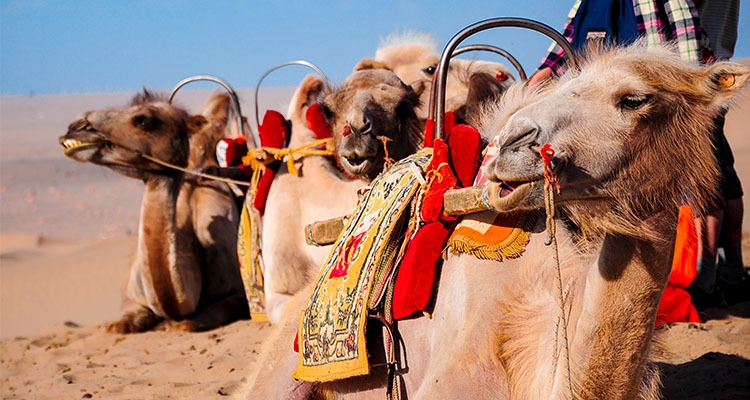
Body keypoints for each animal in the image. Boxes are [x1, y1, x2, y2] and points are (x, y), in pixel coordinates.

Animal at [60, 91, 248, 333]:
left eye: (144, 120)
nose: (76, 125)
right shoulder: (131, 297)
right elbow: (120, 325)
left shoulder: (237, 293)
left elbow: (190, 323)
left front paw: (175, 324)